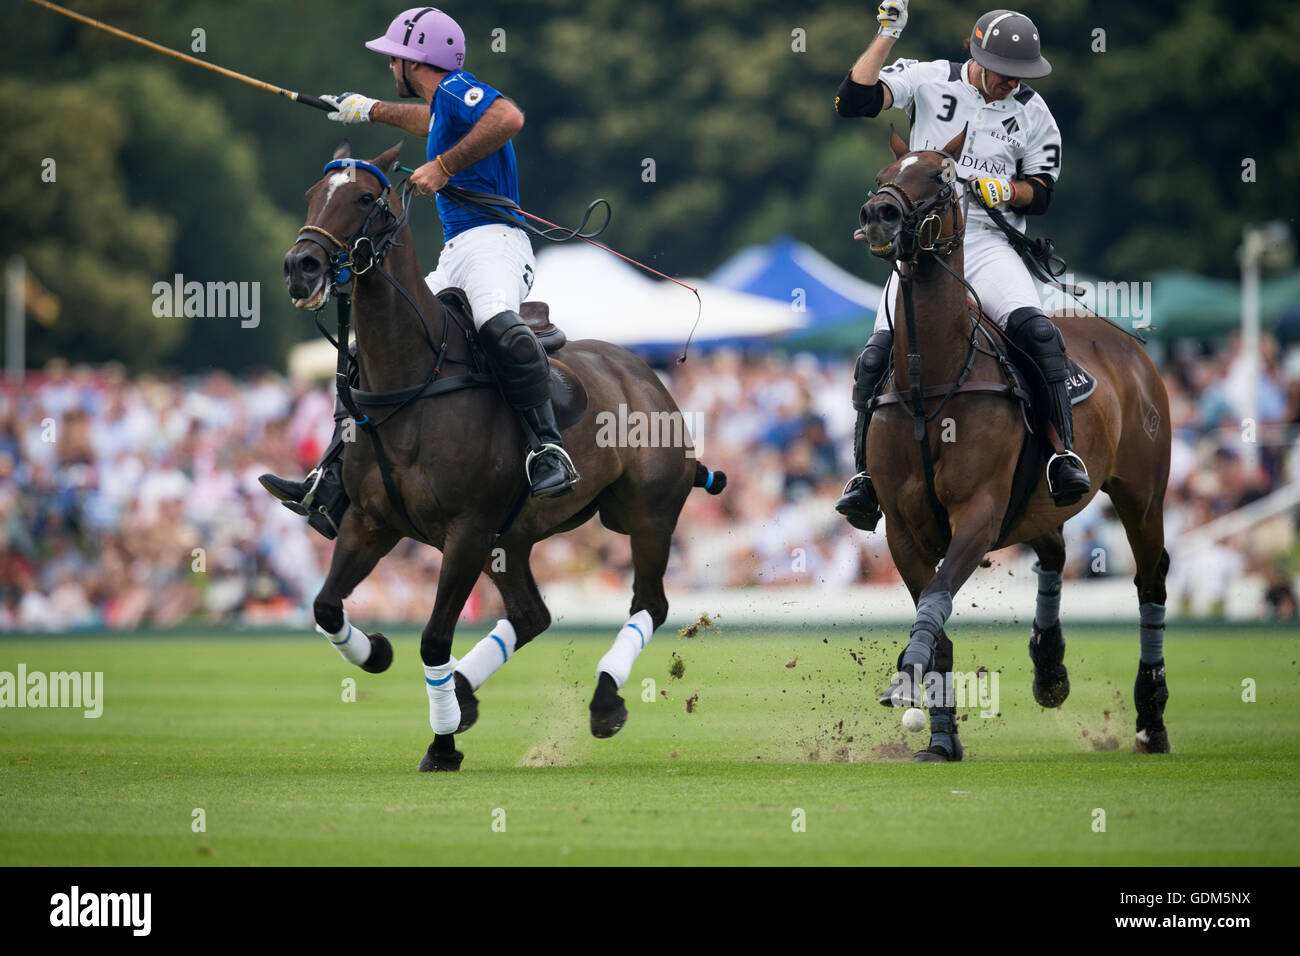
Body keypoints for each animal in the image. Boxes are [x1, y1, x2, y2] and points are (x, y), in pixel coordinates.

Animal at [284, 140, 728, 770]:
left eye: (366, 198)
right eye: (312, 194)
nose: (301, 266)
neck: (412, 379)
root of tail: (646, 375)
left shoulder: (466, 530)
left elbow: (434, 639)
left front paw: (442, 747)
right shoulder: (370, 521)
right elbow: (325, 607)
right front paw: (377, 653)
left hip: (648, 515)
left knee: (651, 603)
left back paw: (603, 699)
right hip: (511, 537)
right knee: (531, 615)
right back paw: (465, 694)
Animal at [857, 128, 1175, 764]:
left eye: (942, 176)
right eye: (883, 173)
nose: (880, 215)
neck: (930, 381)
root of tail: (1131, 348)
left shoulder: (978, 512)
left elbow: (937, 596)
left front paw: (908, 673)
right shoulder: (903, 527)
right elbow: (937, 614)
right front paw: (941, 738)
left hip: (1142, 495)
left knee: (1150, 581)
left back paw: (1151, 718)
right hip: (1034, 503)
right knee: (1054, 550)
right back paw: (1049, 669)